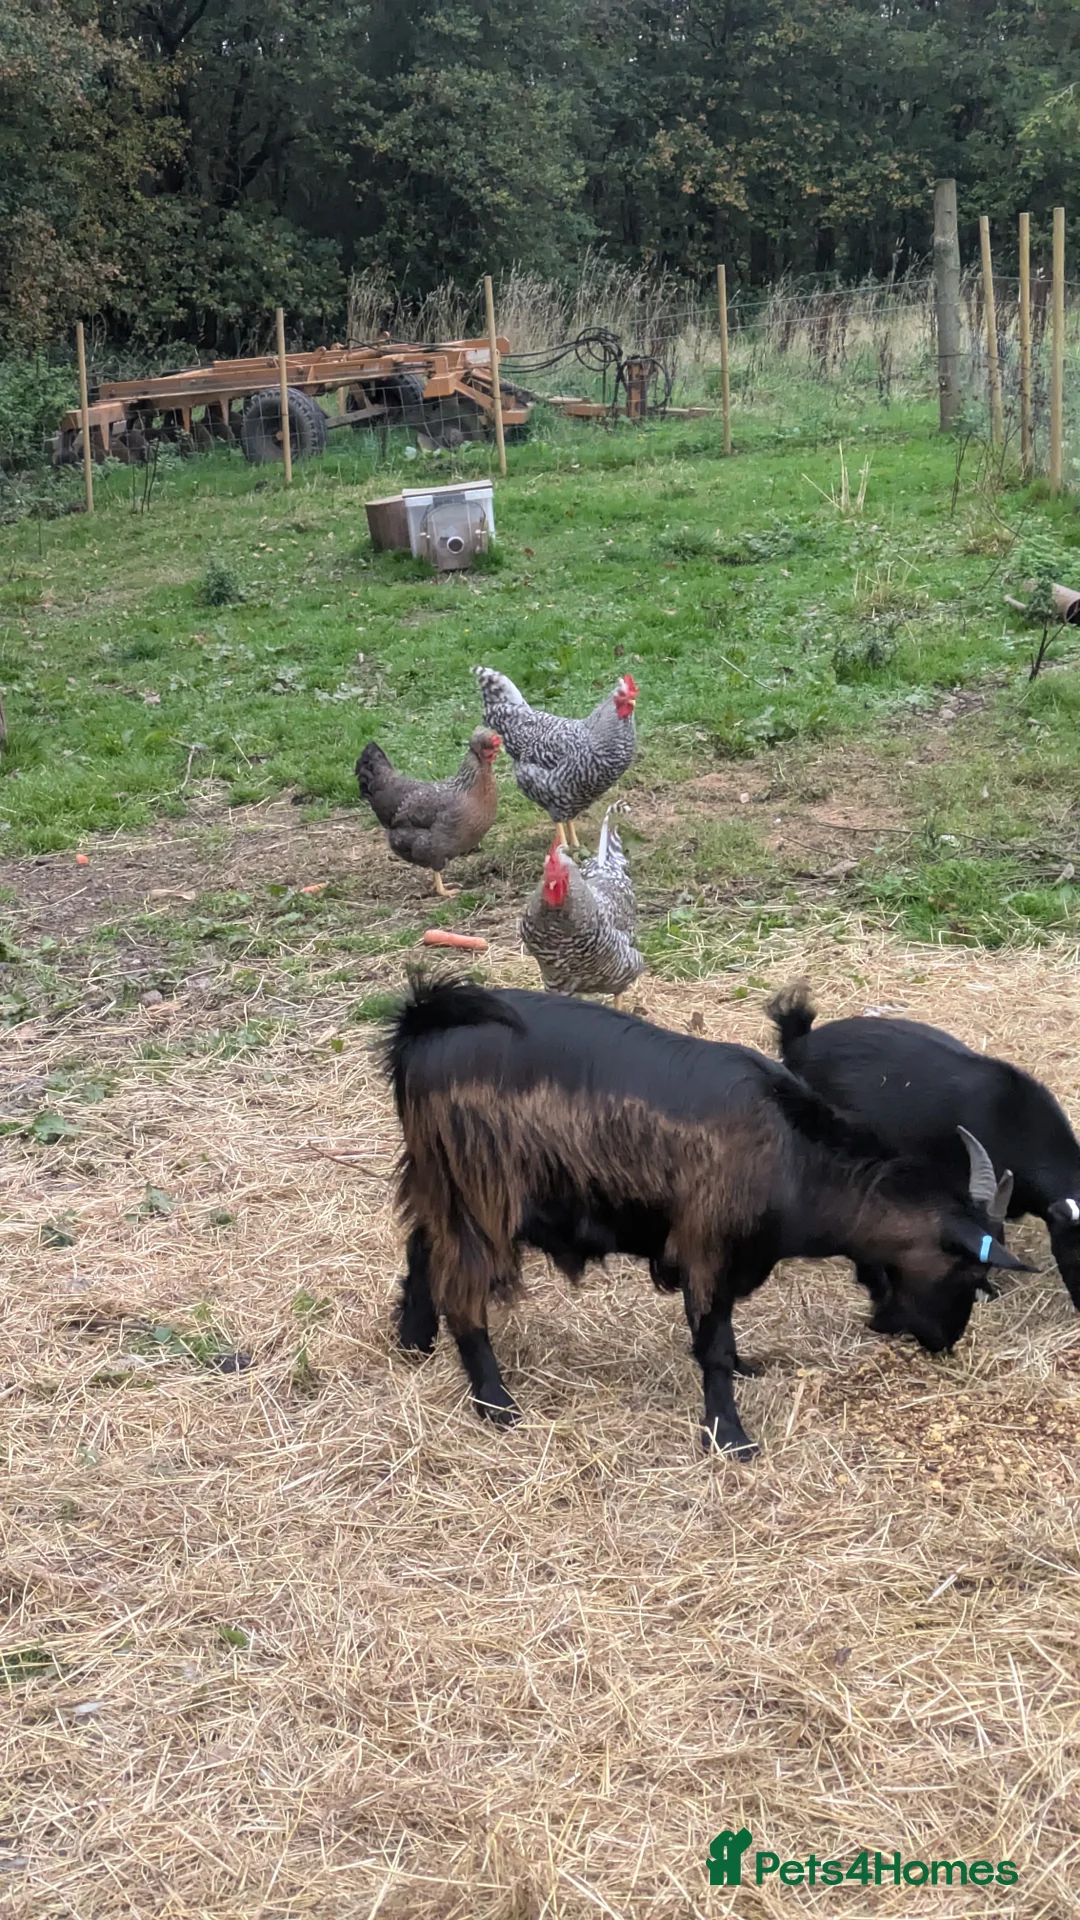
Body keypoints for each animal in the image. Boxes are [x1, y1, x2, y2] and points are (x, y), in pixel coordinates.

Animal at [387, 976, 1024, 1457]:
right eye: (972, 1271)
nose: (945, 1343)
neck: (796, 1158)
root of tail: (424, 1022)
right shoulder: (707, 1247)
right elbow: (712, 1343)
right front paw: (730, 1438)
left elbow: (723, 1337)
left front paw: (746, 1371)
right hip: (480, 1193)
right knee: (463, 1290)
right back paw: (496, 1404)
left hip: (437, 1180)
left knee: (421, 1246)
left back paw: (414, 1342)